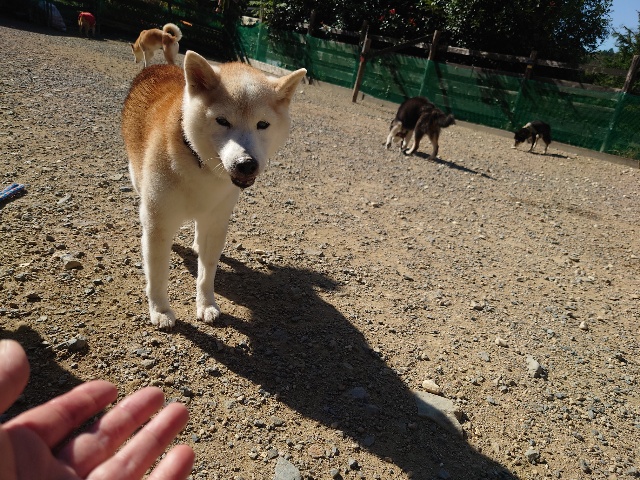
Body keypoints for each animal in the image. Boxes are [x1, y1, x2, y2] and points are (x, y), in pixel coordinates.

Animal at [122, 51, 306, 329]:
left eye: (262, 124)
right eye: (222, 121)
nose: (246, 164)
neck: (200, 165)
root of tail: (158, 67)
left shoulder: (218, 221)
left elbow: (207, 274)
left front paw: (206, 305)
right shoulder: (158, 224)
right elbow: (157, 276)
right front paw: (160, 311)